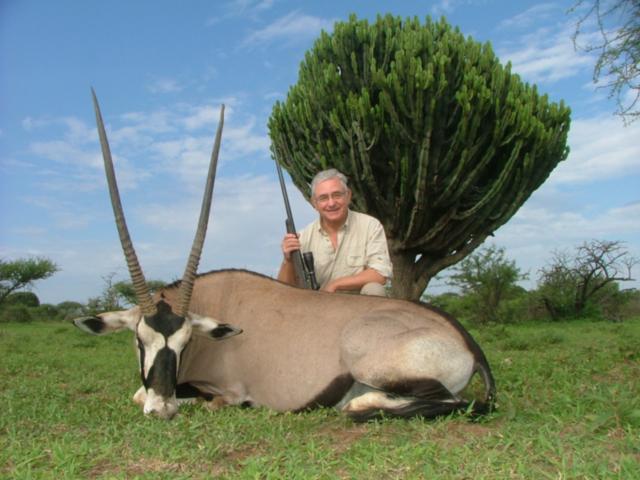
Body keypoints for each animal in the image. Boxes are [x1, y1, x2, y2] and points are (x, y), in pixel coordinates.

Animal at [74, 91, 496, 421]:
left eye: (184, 342)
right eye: (139, 341)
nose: (162, 410)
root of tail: (467, 342)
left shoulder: (227, 390)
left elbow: (174, 397)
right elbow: (138, 392)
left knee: (448, 401)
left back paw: (358, 404)